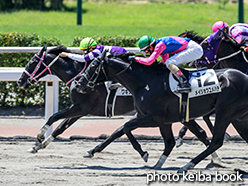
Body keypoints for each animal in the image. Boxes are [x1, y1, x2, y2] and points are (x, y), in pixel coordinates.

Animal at [77, 51, 248, 172]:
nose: (79, 83)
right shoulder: (162, 120)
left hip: (225, 112)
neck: (146, 82)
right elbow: (121, 131)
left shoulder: (154, 118)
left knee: (216, 141)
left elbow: (126, 126)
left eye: (93, 66)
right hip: (238, 118)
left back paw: (187, 166)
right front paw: (92, 151)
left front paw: (144, 154)